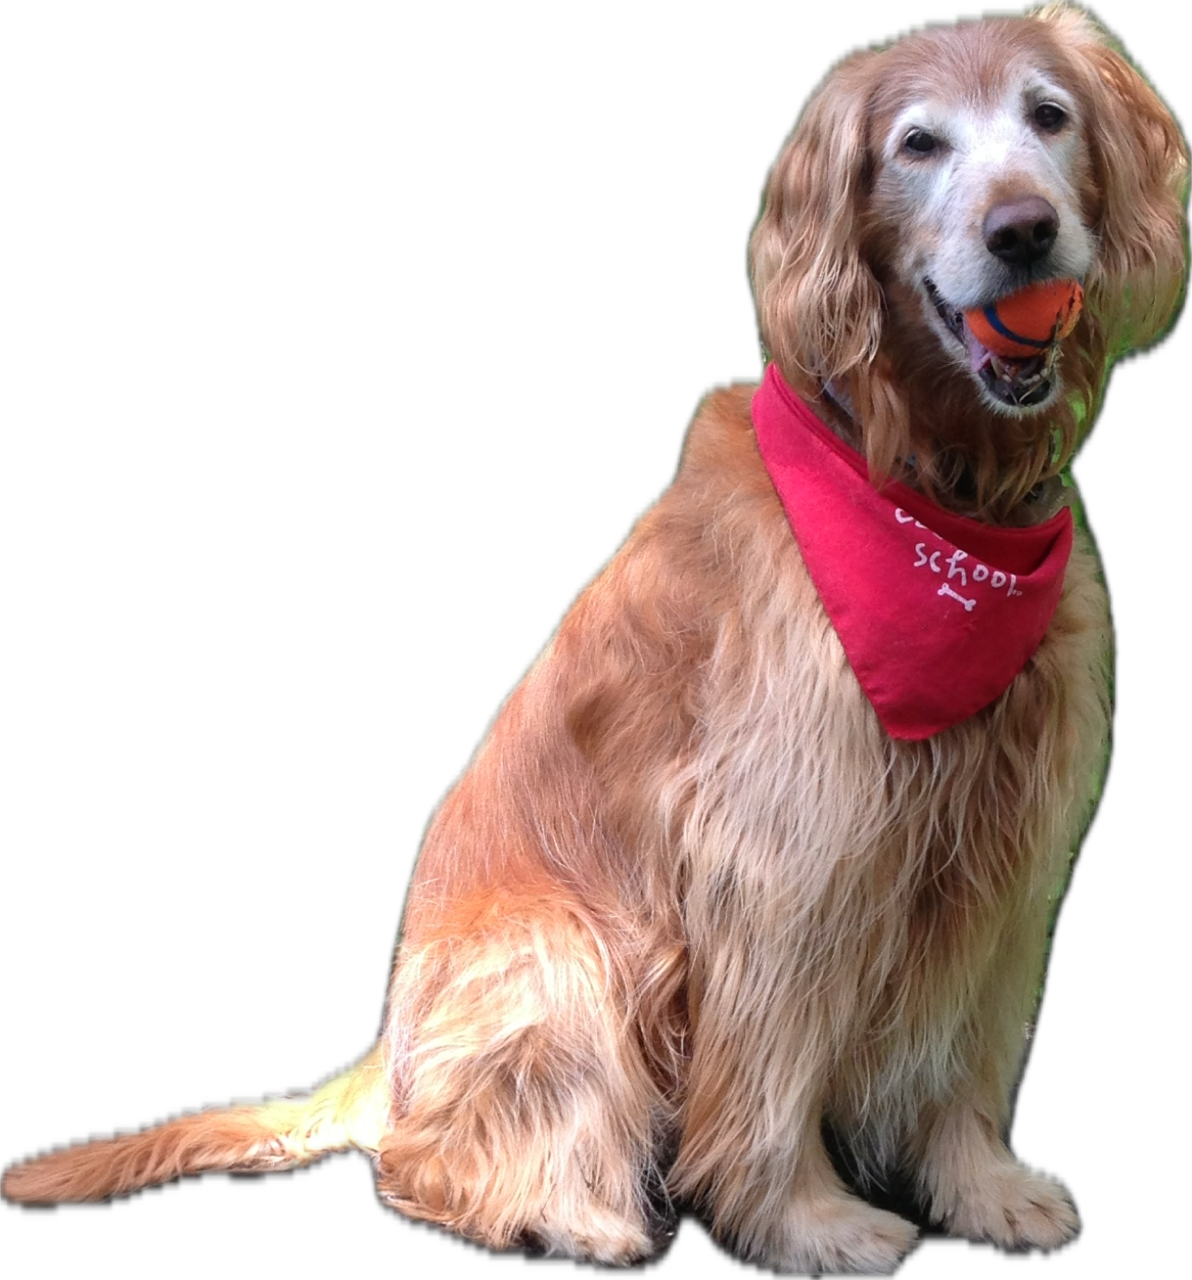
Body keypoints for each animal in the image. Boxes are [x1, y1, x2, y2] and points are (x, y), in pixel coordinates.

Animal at [4, 3, 1186, 1272]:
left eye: (1047, 115)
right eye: (917, 143)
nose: (1023, 230)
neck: (925, 495)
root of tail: (386, 1042)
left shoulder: (1006, 844)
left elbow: (967, 1046)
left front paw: (980, 1187)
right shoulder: (786, 846)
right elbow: (769, 1065)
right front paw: (802, 1217)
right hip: (562, 948)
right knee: (423, 1160)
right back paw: (572, 1211)